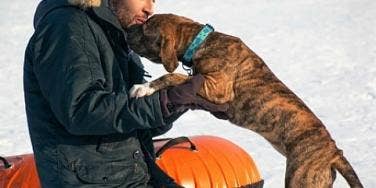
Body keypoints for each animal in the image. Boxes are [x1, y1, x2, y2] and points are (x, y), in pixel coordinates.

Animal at [126, 13, 364, 187]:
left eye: (145, 29)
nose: (127, 30)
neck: (200, 41)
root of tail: (334, 152)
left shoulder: (216, 88)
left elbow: (175, 77)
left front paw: (143, 88)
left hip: (300, 179)